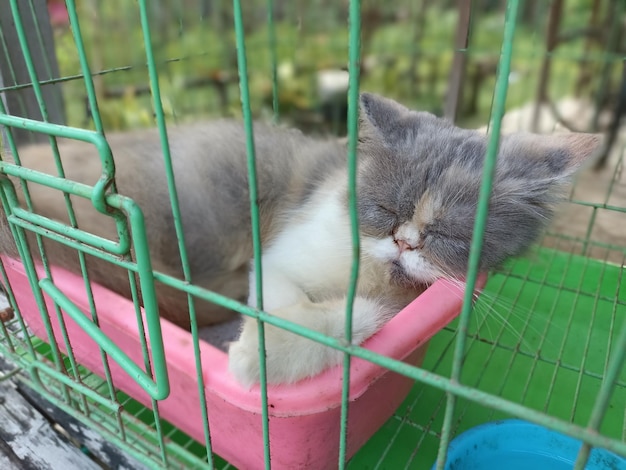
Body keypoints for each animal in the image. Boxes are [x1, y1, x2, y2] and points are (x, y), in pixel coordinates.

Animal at [0, 92, 596, 386]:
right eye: (385, 208)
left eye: (450, 233)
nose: (406, 242)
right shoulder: (278, 260)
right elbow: (295, 308)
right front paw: (254, 360)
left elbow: (365, 313)